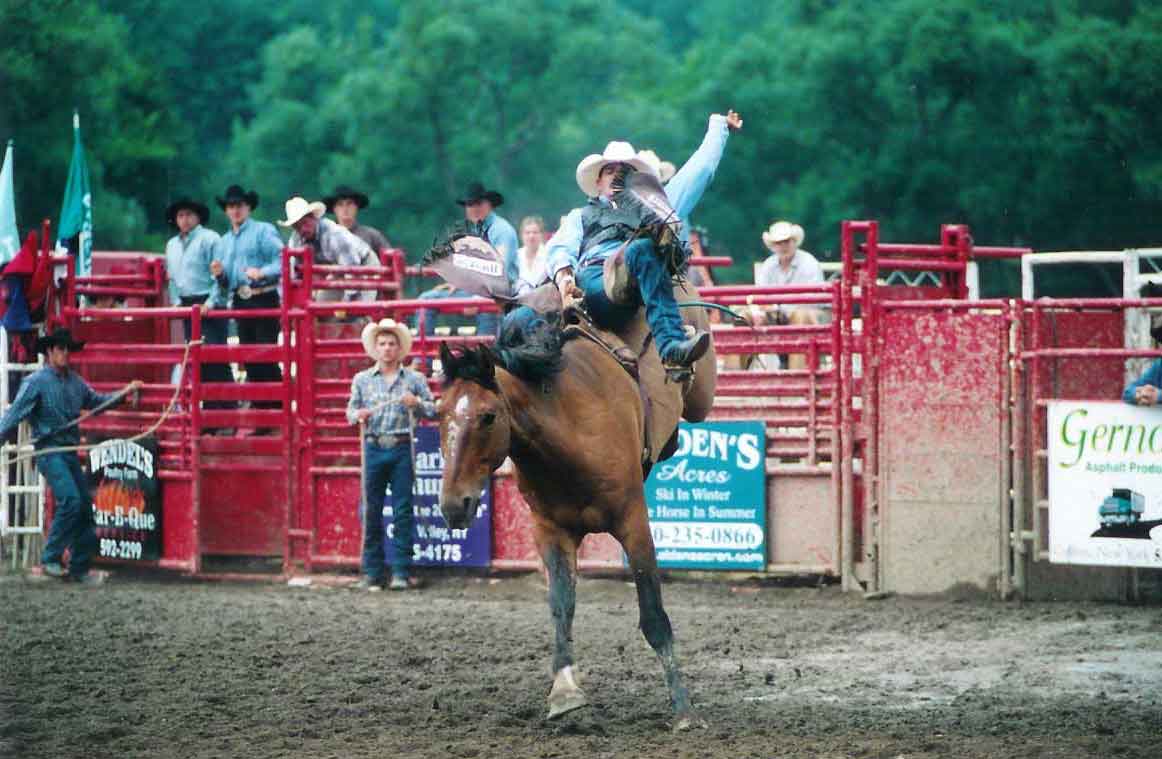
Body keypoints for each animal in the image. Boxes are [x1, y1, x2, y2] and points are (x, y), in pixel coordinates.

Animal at [436, 316, 697, 729]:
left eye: (488, 416)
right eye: (437, 413)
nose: (452, 505)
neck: (567, 439)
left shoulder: (634, 523)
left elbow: (654, 616)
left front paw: (683, 709)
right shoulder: (550, 531)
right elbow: (562, 607)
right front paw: (564, 692)